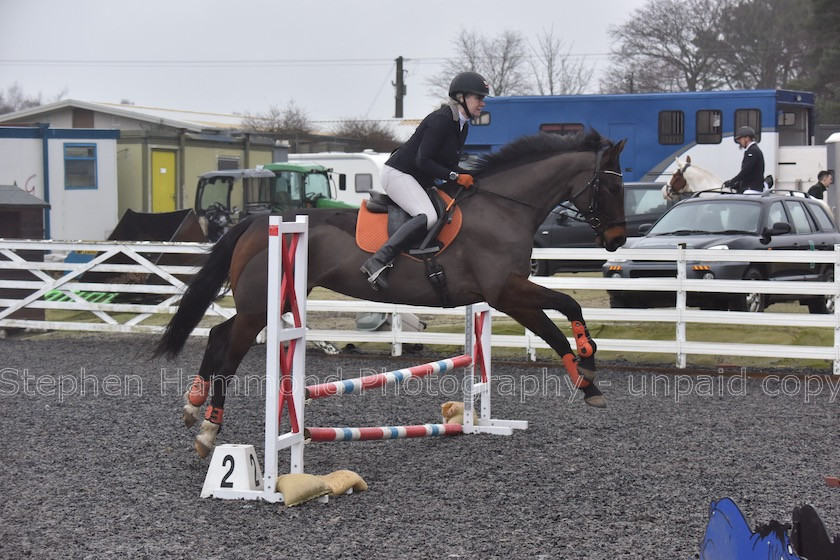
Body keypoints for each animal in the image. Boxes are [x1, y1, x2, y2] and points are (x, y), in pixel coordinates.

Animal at [153, 129, 624, 458]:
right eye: (611, 186)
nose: (617, 240)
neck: (504, 207)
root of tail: (257, 222)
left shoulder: (508, 293)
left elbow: (562, 310)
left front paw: (588, 374)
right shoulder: (507, 291)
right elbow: (559, 316)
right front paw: (586, 371)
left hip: (269, 303)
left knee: (220, 335)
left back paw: (194, 406)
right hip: (262, 305)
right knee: (231, 352)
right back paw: (208, 430)